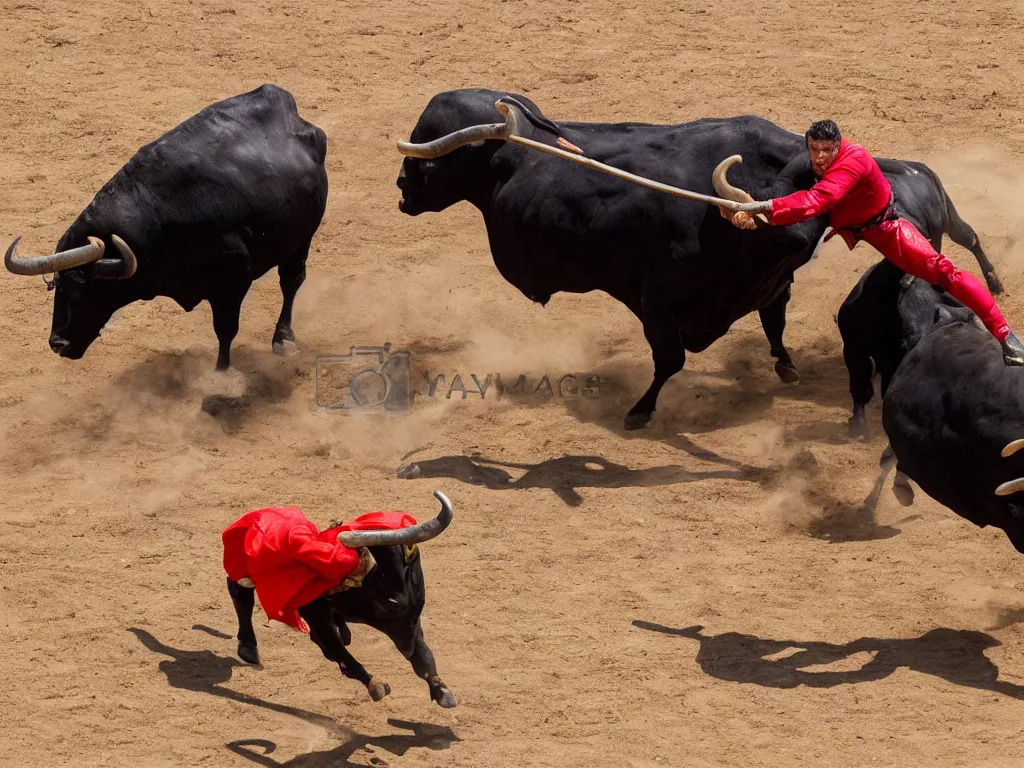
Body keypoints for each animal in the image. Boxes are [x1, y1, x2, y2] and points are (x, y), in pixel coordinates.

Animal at [3, 82, 327, 370]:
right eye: (57, 288)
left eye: (81, 292)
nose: (57, 344)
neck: (158, 218)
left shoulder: (232, 282)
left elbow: (225, 331)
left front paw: (222, 377)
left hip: (303, 237)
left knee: (291, 280)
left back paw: (284, 339)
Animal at [230, 493, 462, 708]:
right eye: (391, 604)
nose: (407, 649)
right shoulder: (316, 612)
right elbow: (341, 652)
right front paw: (375, 684)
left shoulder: (410, 622)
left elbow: (424, 656)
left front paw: (442, 690)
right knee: (240, 596)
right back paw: (248, 649)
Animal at [395, 88, 1003, 434]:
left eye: (814, 214)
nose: (403, 181)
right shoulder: (657, 304)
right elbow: (670, 360)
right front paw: (640, 411)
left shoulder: (769, 286)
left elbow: (773, 323)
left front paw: (785, 365)